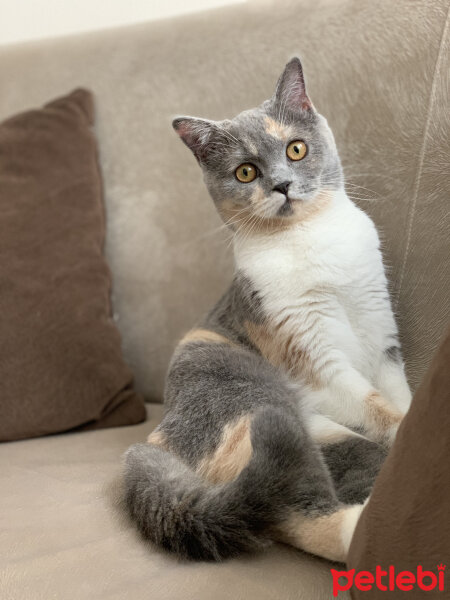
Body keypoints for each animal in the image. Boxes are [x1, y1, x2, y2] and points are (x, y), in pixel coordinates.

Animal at [123, 56, 412, 564]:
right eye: (245, 172)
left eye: (296, 149)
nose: (281, 184)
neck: (312, 237)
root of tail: (159, 436)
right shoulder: (314, 358)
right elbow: (378, 409)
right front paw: (409, 432)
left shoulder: (381, 333)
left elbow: (397, 393)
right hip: (269, 413)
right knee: (296, 513)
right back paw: (359, 526)